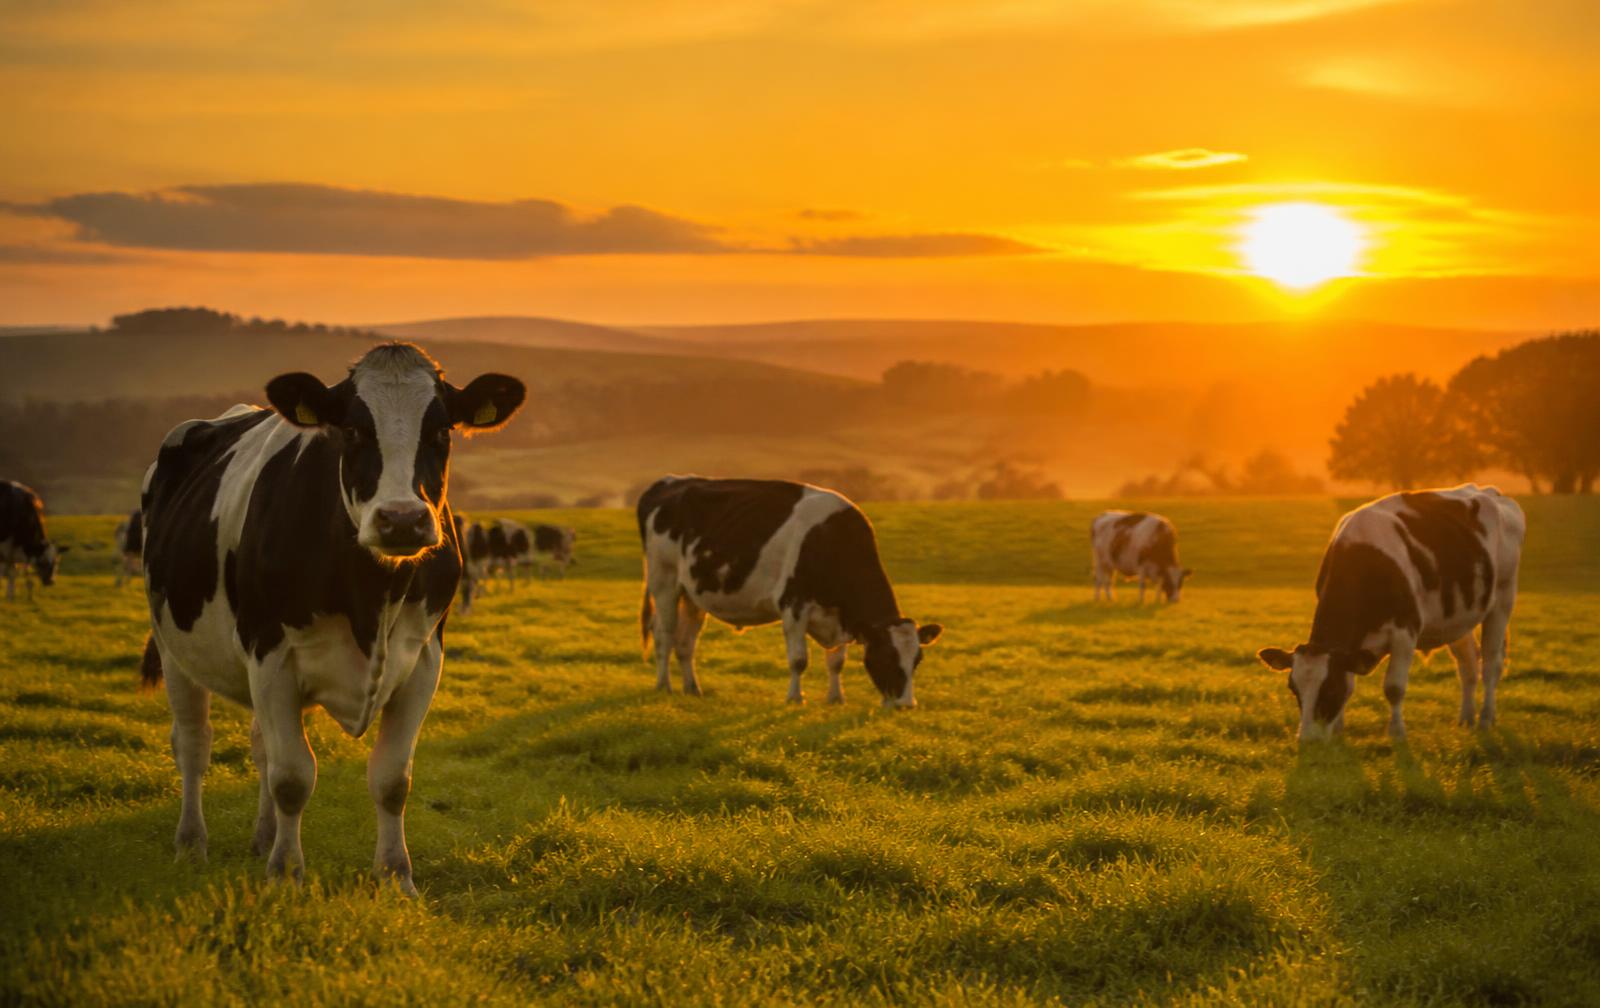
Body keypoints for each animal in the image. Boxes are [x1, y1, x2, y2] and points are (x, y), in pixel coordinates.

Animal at [139, 342, 523, 892]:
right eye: (354, 430)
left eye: (441, 432)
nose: (402, 519)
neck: (372, 597)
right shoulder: (270, 654)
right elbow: (293, 777)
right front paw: (285, 873)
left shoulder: (424, 660)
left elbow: (391, 779)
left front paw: (395, 876)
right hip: (174, 647)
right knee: (193, 743)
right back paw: (192, 844)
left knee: (260, 745)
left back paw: (262, 837)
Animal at [637, 476, 942, 707]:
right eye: (888, 656)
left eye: (917, 660)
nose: (906, 705)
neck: (831, 539)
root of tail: (670, 481)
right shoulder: (794, 604)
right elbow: (798, 660)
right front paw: (795, 698)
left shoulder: (841, 614)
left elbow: (837, 661)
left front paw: (836, 698)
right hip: (663, 581)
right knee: (664, 633)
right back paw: (664, 686)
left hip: (693, 594)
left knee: (685, 642)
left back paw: (692, 688)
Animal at [1256, 484, 1525, 743]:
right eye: (1294, 689)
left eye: (1330, 688)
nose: (1307, 739)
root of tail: (1489, 491)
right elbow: (1351, 682)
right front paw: (1339, 730)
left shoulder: (1405, 631)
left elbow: (1394, 687)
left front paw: (1397, 733)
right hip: (1457, 619)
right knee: (1468, 664)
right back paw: (1466, 719)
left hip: (1503, 598)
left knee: (1490, 664)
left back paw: (1486, 719)